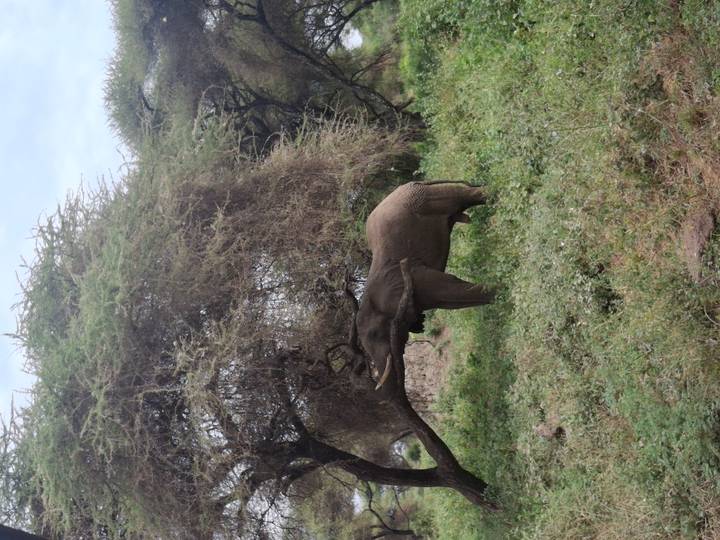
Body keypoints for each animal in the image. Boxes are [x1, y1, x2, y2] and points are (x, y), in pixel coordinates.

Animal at [356, 181, 496, 387]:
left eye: (377, 334)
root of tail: (406, 185)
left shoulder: (410, 281)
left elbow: (450, 290)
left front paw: (506, 294)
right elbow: (451, 302)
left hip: (426, 199)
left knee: (466, 196)